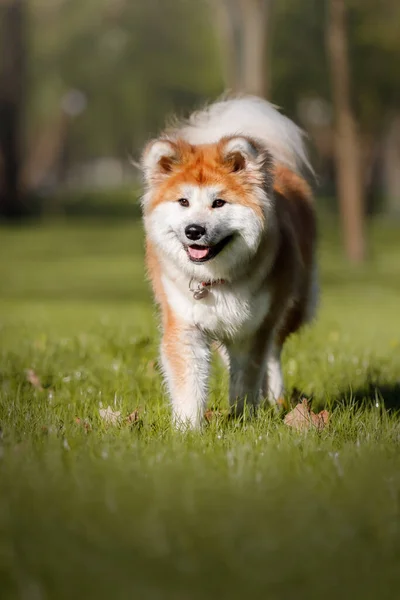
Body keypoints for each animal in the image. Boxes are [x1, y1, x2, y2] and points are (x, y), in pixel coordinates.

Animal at [140, 96, 316, 426]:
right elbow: (189, 386)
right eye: (183, 202)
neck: (215, 279)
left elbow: (246, 379)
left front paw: (243, 419)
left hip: (292, 306)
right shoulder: (185, 325)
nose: (194, 230)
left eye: (219, 202)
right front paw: (188, 429)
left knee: (274, 353)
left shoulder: (253, 329)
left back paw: (276, 399)